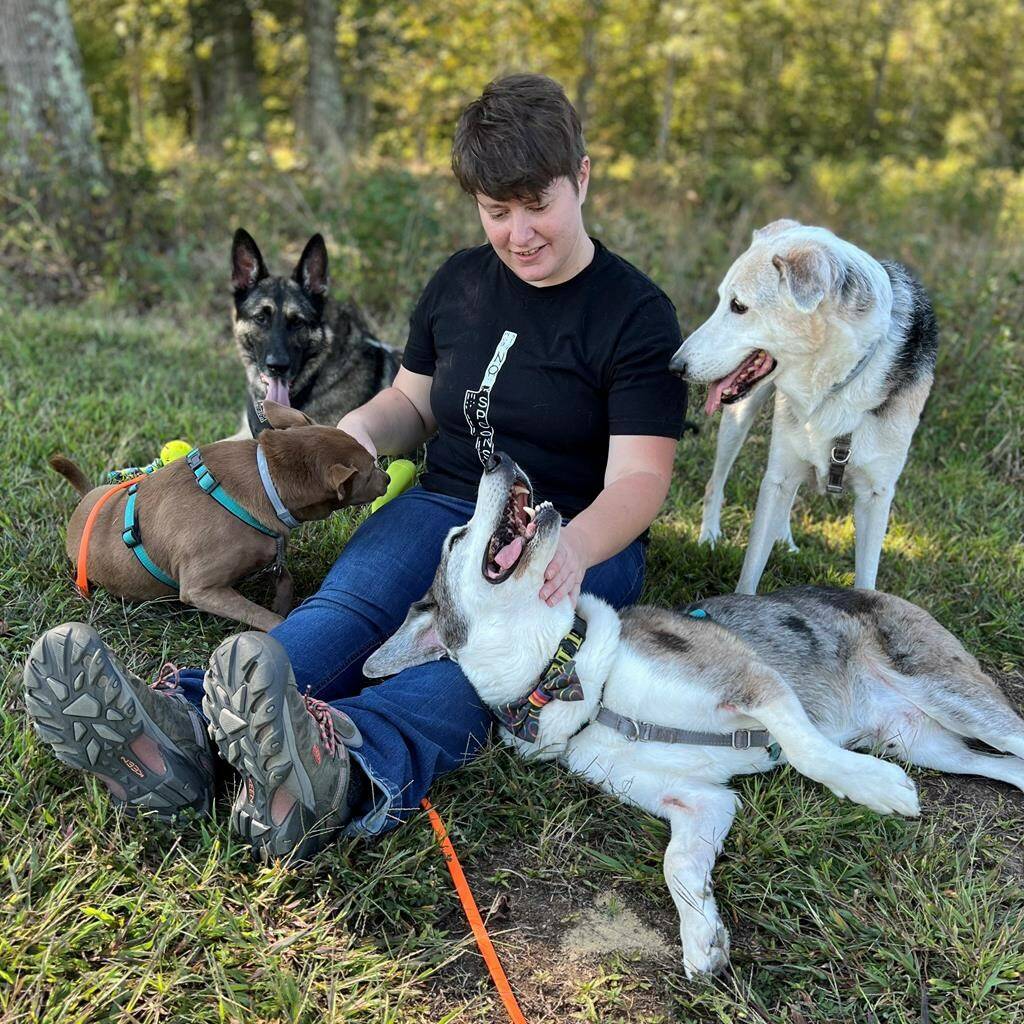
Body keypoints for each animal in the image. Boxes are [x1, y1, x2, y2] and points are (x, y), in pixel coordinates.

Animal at [47, 401, 387, 630]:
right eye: (371, 469)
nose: (386, 477)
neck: (265, 477)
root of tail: (86, 498)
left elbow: (285, 579)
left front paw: (282, 602)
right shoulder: (201, 589)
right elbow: (263, 616)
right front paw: (280, 622)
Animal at [366, 454, 1024, 974]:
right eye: (457, 539)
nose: (498, 458)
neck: (572, 681)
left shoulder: (751, 681)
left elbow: (809, 751)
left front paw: (874, 787)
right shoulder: (699, 800)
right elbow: (678, 862)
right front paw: (703, 938)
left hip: (953, 697)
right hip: (926, 742)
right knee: (1002, 767)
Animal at [667, 220, 937, 598]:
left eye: (738, 306)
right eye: (721, 300)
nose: (675, 366)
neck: (837, 382)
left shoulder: (876, 496)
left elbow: (866, 579)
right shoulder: (777, 478)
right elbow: (749, 574)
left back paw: (783, 539)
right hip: (739, 420)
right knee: (716, 482)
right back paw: (709, 536)